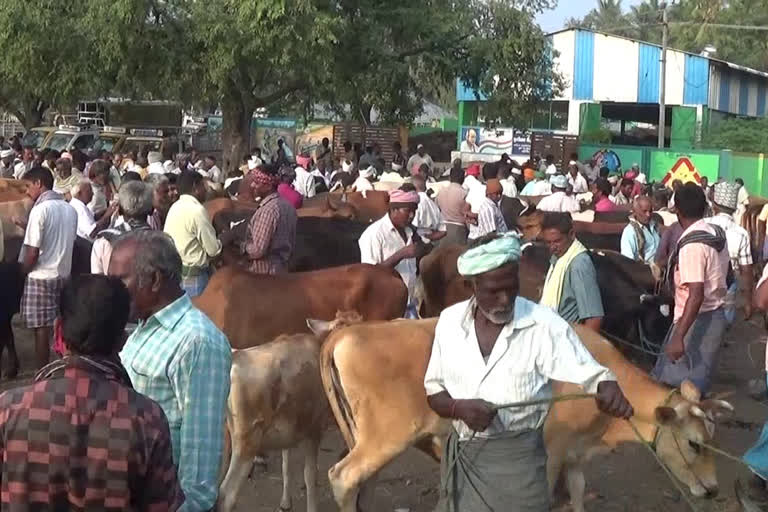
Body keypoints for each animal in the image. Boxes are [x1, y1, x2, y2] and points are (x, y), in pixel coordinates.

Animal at [316, 320, 732, 512]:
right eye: (694, 444)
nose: (713, 489)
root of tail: (348, 332)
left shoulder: (575, 456)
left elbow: (578, 494)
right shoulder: (549, 455)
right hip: (385, 436)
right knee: (343, 477)